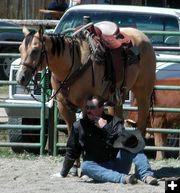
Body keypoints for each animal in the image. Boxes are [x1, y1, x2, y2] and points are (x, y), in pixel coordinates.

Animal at [16, 21, 155, 167]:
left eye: (35, 50)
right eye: (20, 49)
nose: (20, 78)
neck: (72, 65)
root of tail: (143, 37)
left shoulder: (85, 104)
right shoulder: (63, 106)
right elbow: (71, 130)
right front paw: (74, 165)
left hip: (143, 93)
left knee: (142, 123)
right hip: (116, 97)